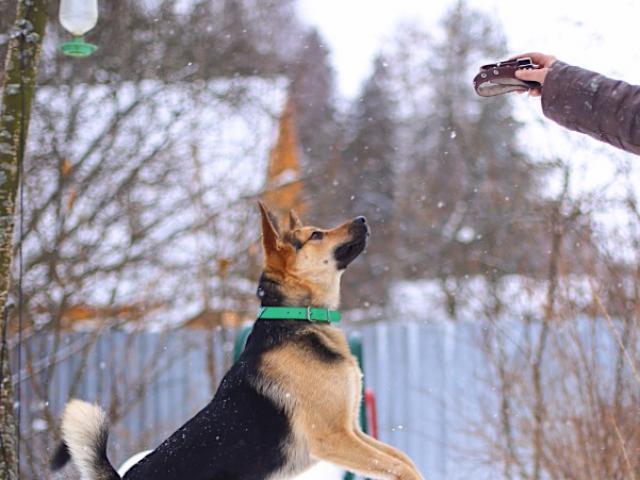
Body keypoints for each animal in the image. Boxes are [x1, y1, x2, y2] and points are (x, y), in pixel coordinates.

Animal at [48, 202, 420, 480]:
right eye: (316, 235)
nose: (362, 218)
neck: (298, 317)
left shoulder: (352, 432)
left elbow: (404, 459)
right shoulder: (331, 437)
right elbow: (399, 466)